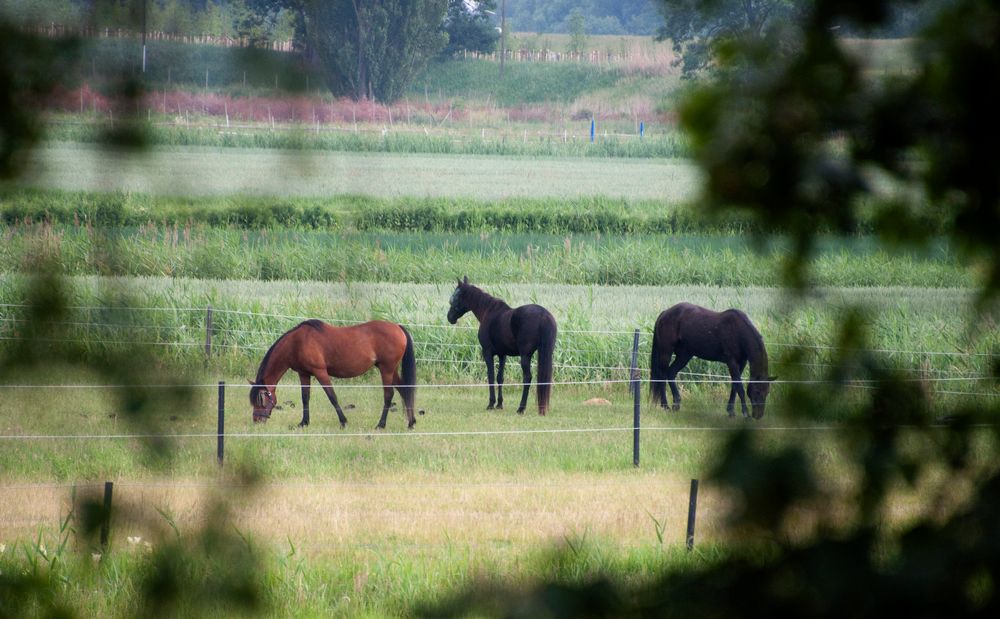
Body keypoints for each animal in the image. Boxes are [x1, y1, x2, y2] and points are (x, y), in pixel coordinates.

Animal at [254, 320, 418, 432]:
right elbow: (305, 398)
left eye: (260, 399)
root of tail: (397, 327)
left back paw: (381, 425)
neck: (297, 342)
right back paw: (411, 423)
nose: (256, 420)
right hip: (390, 370)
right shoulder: (304, 374)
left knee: (389, 395)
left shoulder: (320, 372)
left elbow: (332, 396)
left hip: (387, 369)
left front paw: (343, 421)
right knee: (404, 390)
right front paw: (303, 423)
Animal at [450, 278, 560, 416]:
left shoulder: (487, 352)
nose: (449, 317)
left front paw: (491, 404)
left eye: (455, 297)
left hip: (525, 356)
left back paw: (521, 408)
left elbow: (491, 376)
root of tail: (544, 315)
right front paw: (499, 404)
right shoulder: (502, 355)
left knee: (527, 377)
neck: (488, 312)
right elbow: (500, 377)